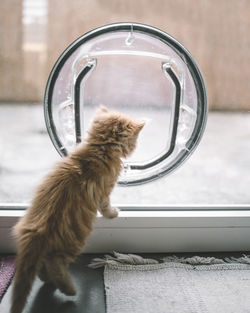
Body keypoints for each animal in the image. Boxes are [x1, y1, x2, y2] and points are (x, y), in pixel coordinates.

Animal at [11, 106, 145, 312]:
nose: (135, 148)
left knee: (42, 264)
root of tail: (36, 231)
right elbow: (106, 206)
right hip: (73, 241)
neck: (98, 149)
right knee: (55, 263)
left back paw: (46, 279)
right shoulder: (104, 192)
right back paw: (68, 289)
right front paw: (113, 213)